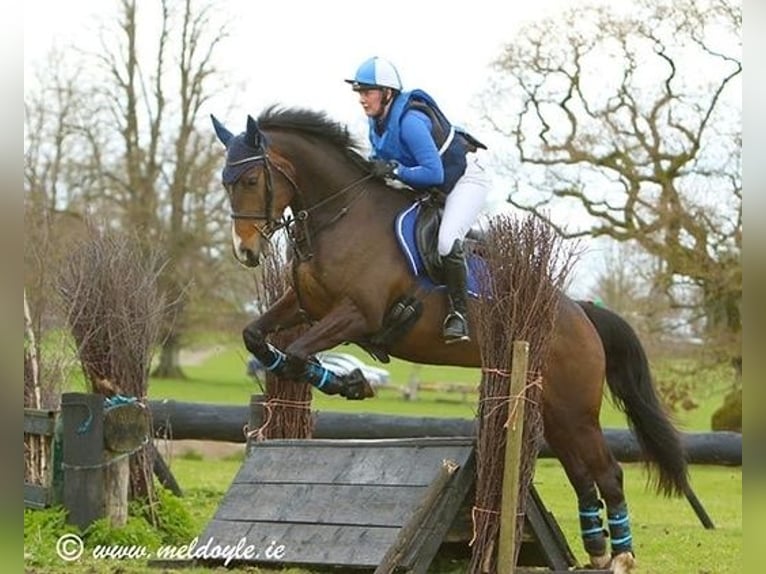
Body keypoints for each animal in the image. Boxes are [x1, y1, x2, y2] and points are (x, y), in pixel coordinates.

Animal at [210, 107, 688, 572]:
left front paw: (351, 384)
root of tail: (581, 312)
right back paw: (598, 555)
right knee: (582, 474)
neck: (341, 215)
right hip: (554, 409)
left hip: (576, 408)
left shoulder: (357, 314)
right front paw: (341, 381)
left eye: (250, 181)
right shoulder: (305, 306)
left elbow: (295, 353)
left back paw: (622, 557)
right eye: (226, 182)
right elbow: (256, 337)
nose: (246, 252)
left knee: (608, 472)